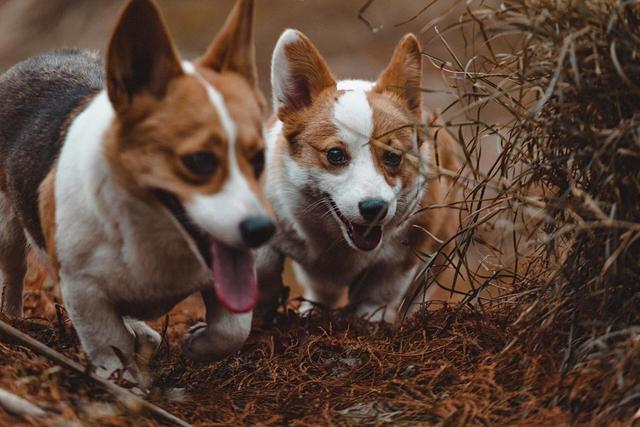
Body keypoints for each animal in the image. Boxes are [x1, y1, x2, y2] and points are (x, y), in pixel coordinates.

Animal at [0, 0, 272, 382]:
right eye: (199, 161)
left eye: (259, 158)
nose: (262, 230)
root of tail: (43, 57)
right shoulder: (83, 289)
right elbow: (107, 341)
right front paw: (123, 378)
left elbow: (232, 330)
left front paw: (197, 344)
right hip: (7, 228)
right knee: (13, 270)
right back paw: (12, 318)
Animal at [258, 30, 462, 322]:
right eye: (335, 154)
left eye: (393, 156)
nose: (374, 208)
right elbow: (262, 272)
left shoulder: (402, 256)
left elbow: (377, 295)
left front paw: (369, 320)